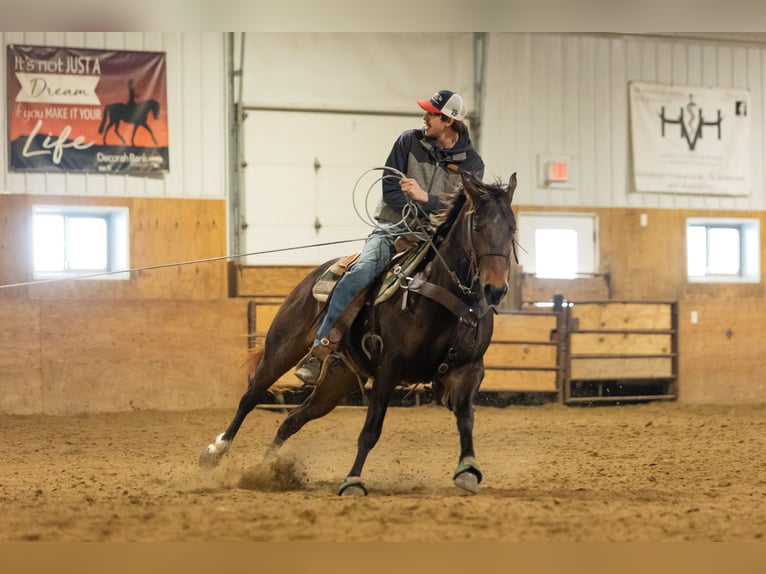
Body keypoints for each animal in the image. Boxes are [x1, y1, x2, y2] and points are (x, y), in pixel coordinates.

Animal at [200, 171, 518, 496]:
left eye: (512, 228)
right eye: (477, 226)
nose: (495, 290)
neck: (443, 293)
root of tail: (315, 275)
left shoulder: (469, 368)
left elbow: (466, 418)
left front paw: (468, 470)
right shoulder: (389, 367)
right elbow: (371, 429)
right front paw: (352, 480)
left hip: (338, 381)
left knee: (292, 419)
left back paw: (265, 470)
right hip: (283, 349)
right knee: (250, 397)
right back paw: (215, 452)